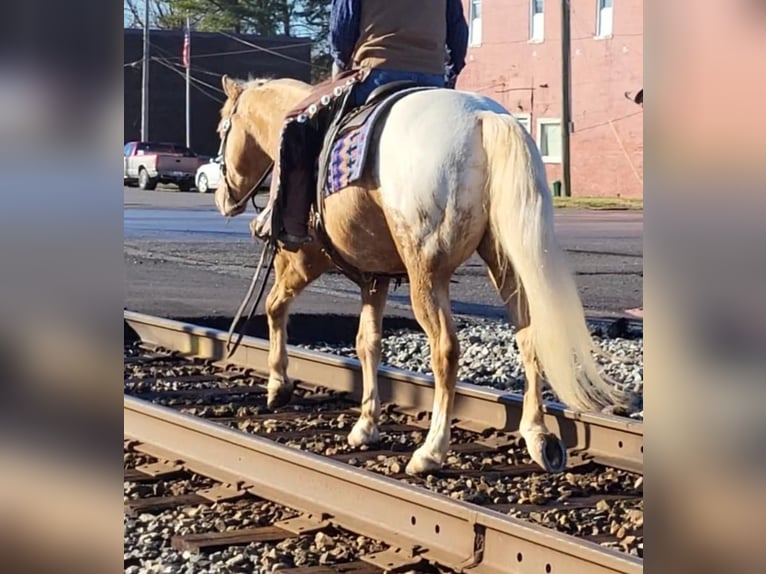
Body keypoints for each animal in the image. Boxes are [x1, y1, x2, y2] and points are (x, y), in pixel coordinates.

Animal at [213, 74, 628, 474]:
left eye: (222, 128)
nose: (222, 198)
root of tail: (483, 118)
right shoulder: (375, 277)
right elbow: (367, 342)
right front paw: (366, 425)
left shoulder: (301, 259)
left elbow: (274, 306)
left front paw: (278, 384)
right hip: (507, 264)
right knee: (529, 337)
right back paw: (538, 435)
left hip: (426, 274)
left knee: (445, 349)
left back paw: (431, 451)